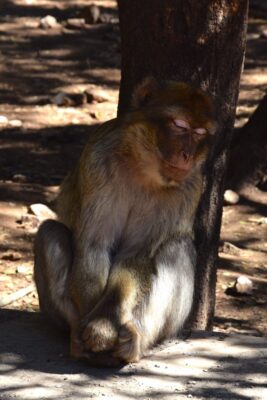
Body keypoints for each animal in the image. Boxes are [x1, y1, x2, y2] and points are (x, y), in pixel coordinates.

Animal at [34, 77, 218, 366]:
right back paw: (76, 333)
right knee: (50, 232)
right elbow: (94, 244)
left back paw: (135, 340)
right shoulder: (97, 158)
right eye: (180, 126)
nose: (188, 155)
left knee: (176, 247)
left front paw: (102, 326)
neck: (143, 166)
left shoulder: (188, 187)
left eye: (200, 133)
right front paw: (91, 331)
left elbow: (136, 254)